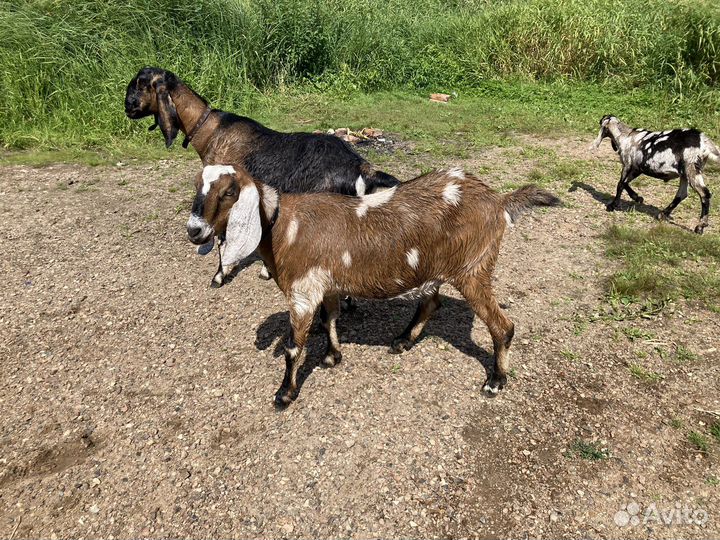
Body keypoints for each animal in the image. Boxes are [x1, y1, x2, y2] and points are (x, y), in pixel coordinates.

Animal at [124, 66, 399, 284]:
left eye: (140, 83)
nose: (127, 107)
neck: (212, 131)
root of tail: (361, 167)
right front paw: (266, 270)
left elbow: (223, 238)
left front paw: (219, 275)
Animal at [186, 164, 561, 407]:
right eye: (197, 187)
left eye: (229, 192)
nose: (194, 230)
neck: (283, 226)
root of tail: (498, 202)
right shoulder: (327, 285)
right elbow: (330, 319)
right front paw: (332, 356)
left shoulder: (303, 291)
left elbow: (294, 348)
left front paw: (284, 394)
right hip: (437, 268)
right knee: (431, 302)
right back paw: (403, 340)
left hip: (474, 268)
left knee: (503, 326)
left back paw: (495, 381)